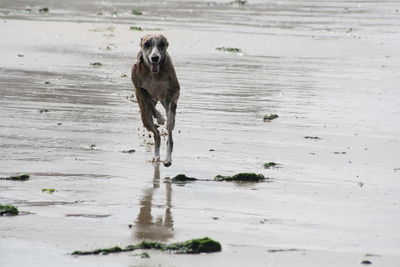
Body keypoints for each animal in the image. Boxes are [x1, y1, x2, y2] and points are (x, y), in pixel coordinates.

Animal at [132, 34, 180, 168]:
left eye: (162, 44)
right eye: (147, 44)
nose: (155, 58)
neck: (154, 74)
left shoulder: (175, 91)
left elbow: (172, 107)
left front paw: (167, 119)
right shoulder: (140, 89)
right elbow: (149, 103)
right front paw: (159, 118)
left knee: (169, 138)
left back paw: (167, 159)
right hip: (145, 117)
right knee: (156, 134)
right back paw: (157, 156)